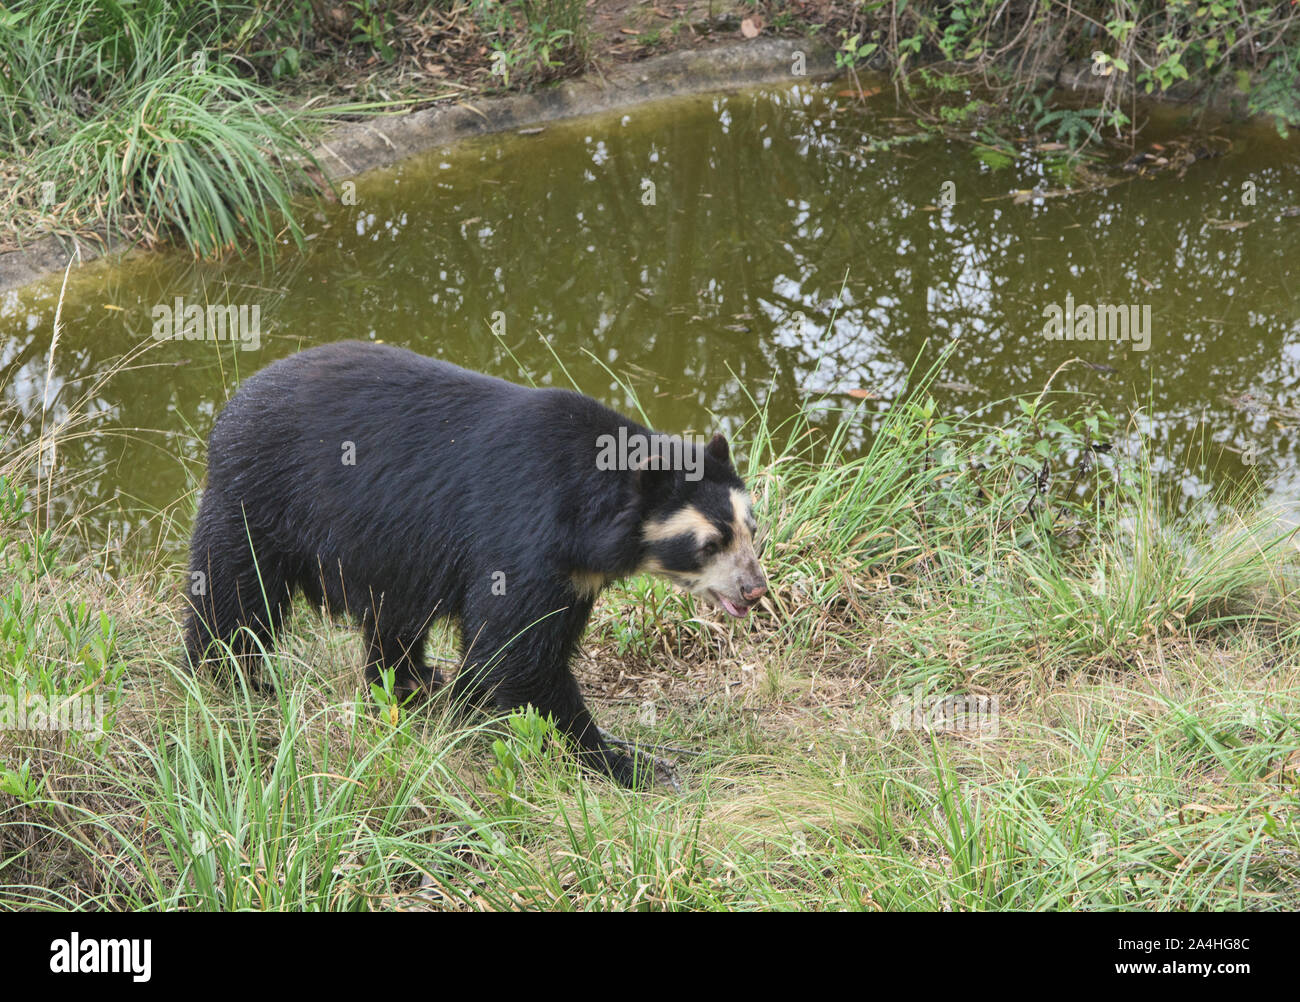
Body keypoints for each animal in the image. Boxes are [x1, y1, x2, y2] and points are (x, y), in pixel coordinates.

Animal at [185, 340, 769, 790]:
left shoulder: (572, 577)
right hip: (258, 500)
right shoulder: (520, 537)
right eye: (709, 544)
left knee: (391, 617)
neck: (586, 524)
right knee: (234, 594)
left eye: (753, 531)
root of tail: (236, 401)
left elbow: (524, 642)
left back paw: (412, 681)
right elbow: (516, 652)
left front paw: (463, 705)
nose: (755, 590)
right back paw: (234, 680)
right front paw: (618, 762)